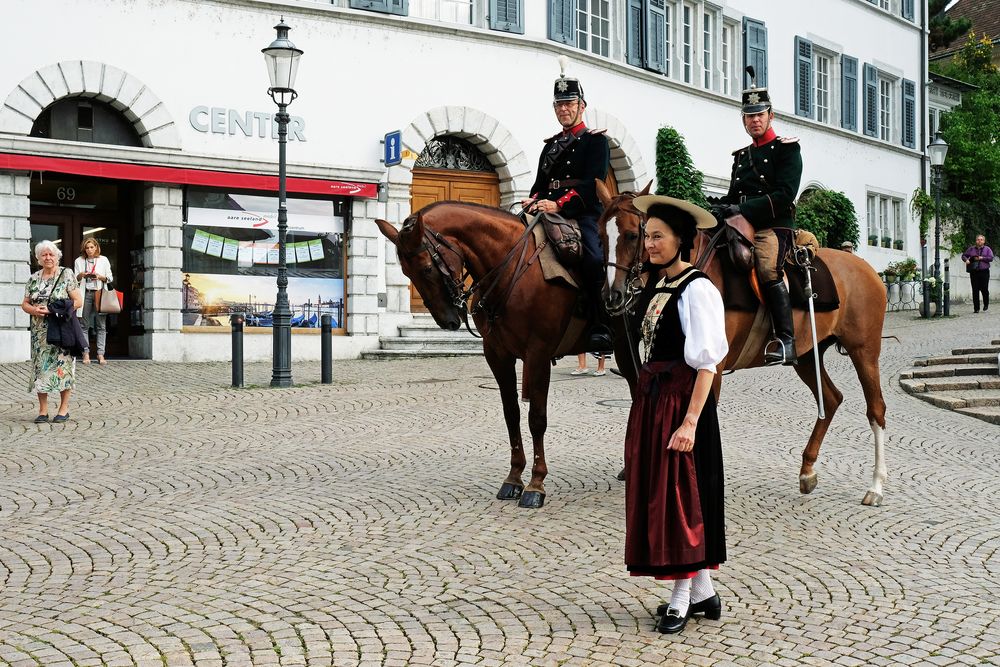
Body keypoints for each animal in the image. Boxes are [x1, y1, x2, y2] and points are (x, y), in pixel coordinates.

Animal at [376, 204, 640, 512]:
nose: (448, 320)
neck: (511, 268)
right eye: (405, 272)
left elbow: (536, 418)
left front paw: (536, 484)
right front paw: (514, 478)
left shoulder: (538, 354)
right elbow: (511, 414)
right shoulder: (497, 355)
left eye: (427, 268)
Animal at [600, 184, 892, 506]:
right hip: (806, 355)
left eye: (632, 234)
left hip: (864, 351)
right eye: (601, 234)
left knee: (876, 409)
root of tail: (866, 269)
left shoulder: (711, 367)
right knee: (830, 399)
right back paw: (807, 472)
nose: (612, 296)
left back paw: (876, 486)